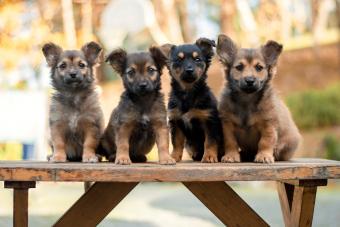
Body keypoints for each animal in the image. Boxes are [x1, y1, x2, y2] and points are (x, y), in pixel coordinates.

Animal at [216, 34, 302, 163]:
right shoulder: (227, 125)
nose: (250, 80)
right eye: (239, 67)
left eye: (259, 67)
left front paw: (264, 156)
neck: (247, 99)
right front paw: (231, 156)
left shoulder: (268, 125)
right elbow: (230, 142)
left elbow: (265, 142)